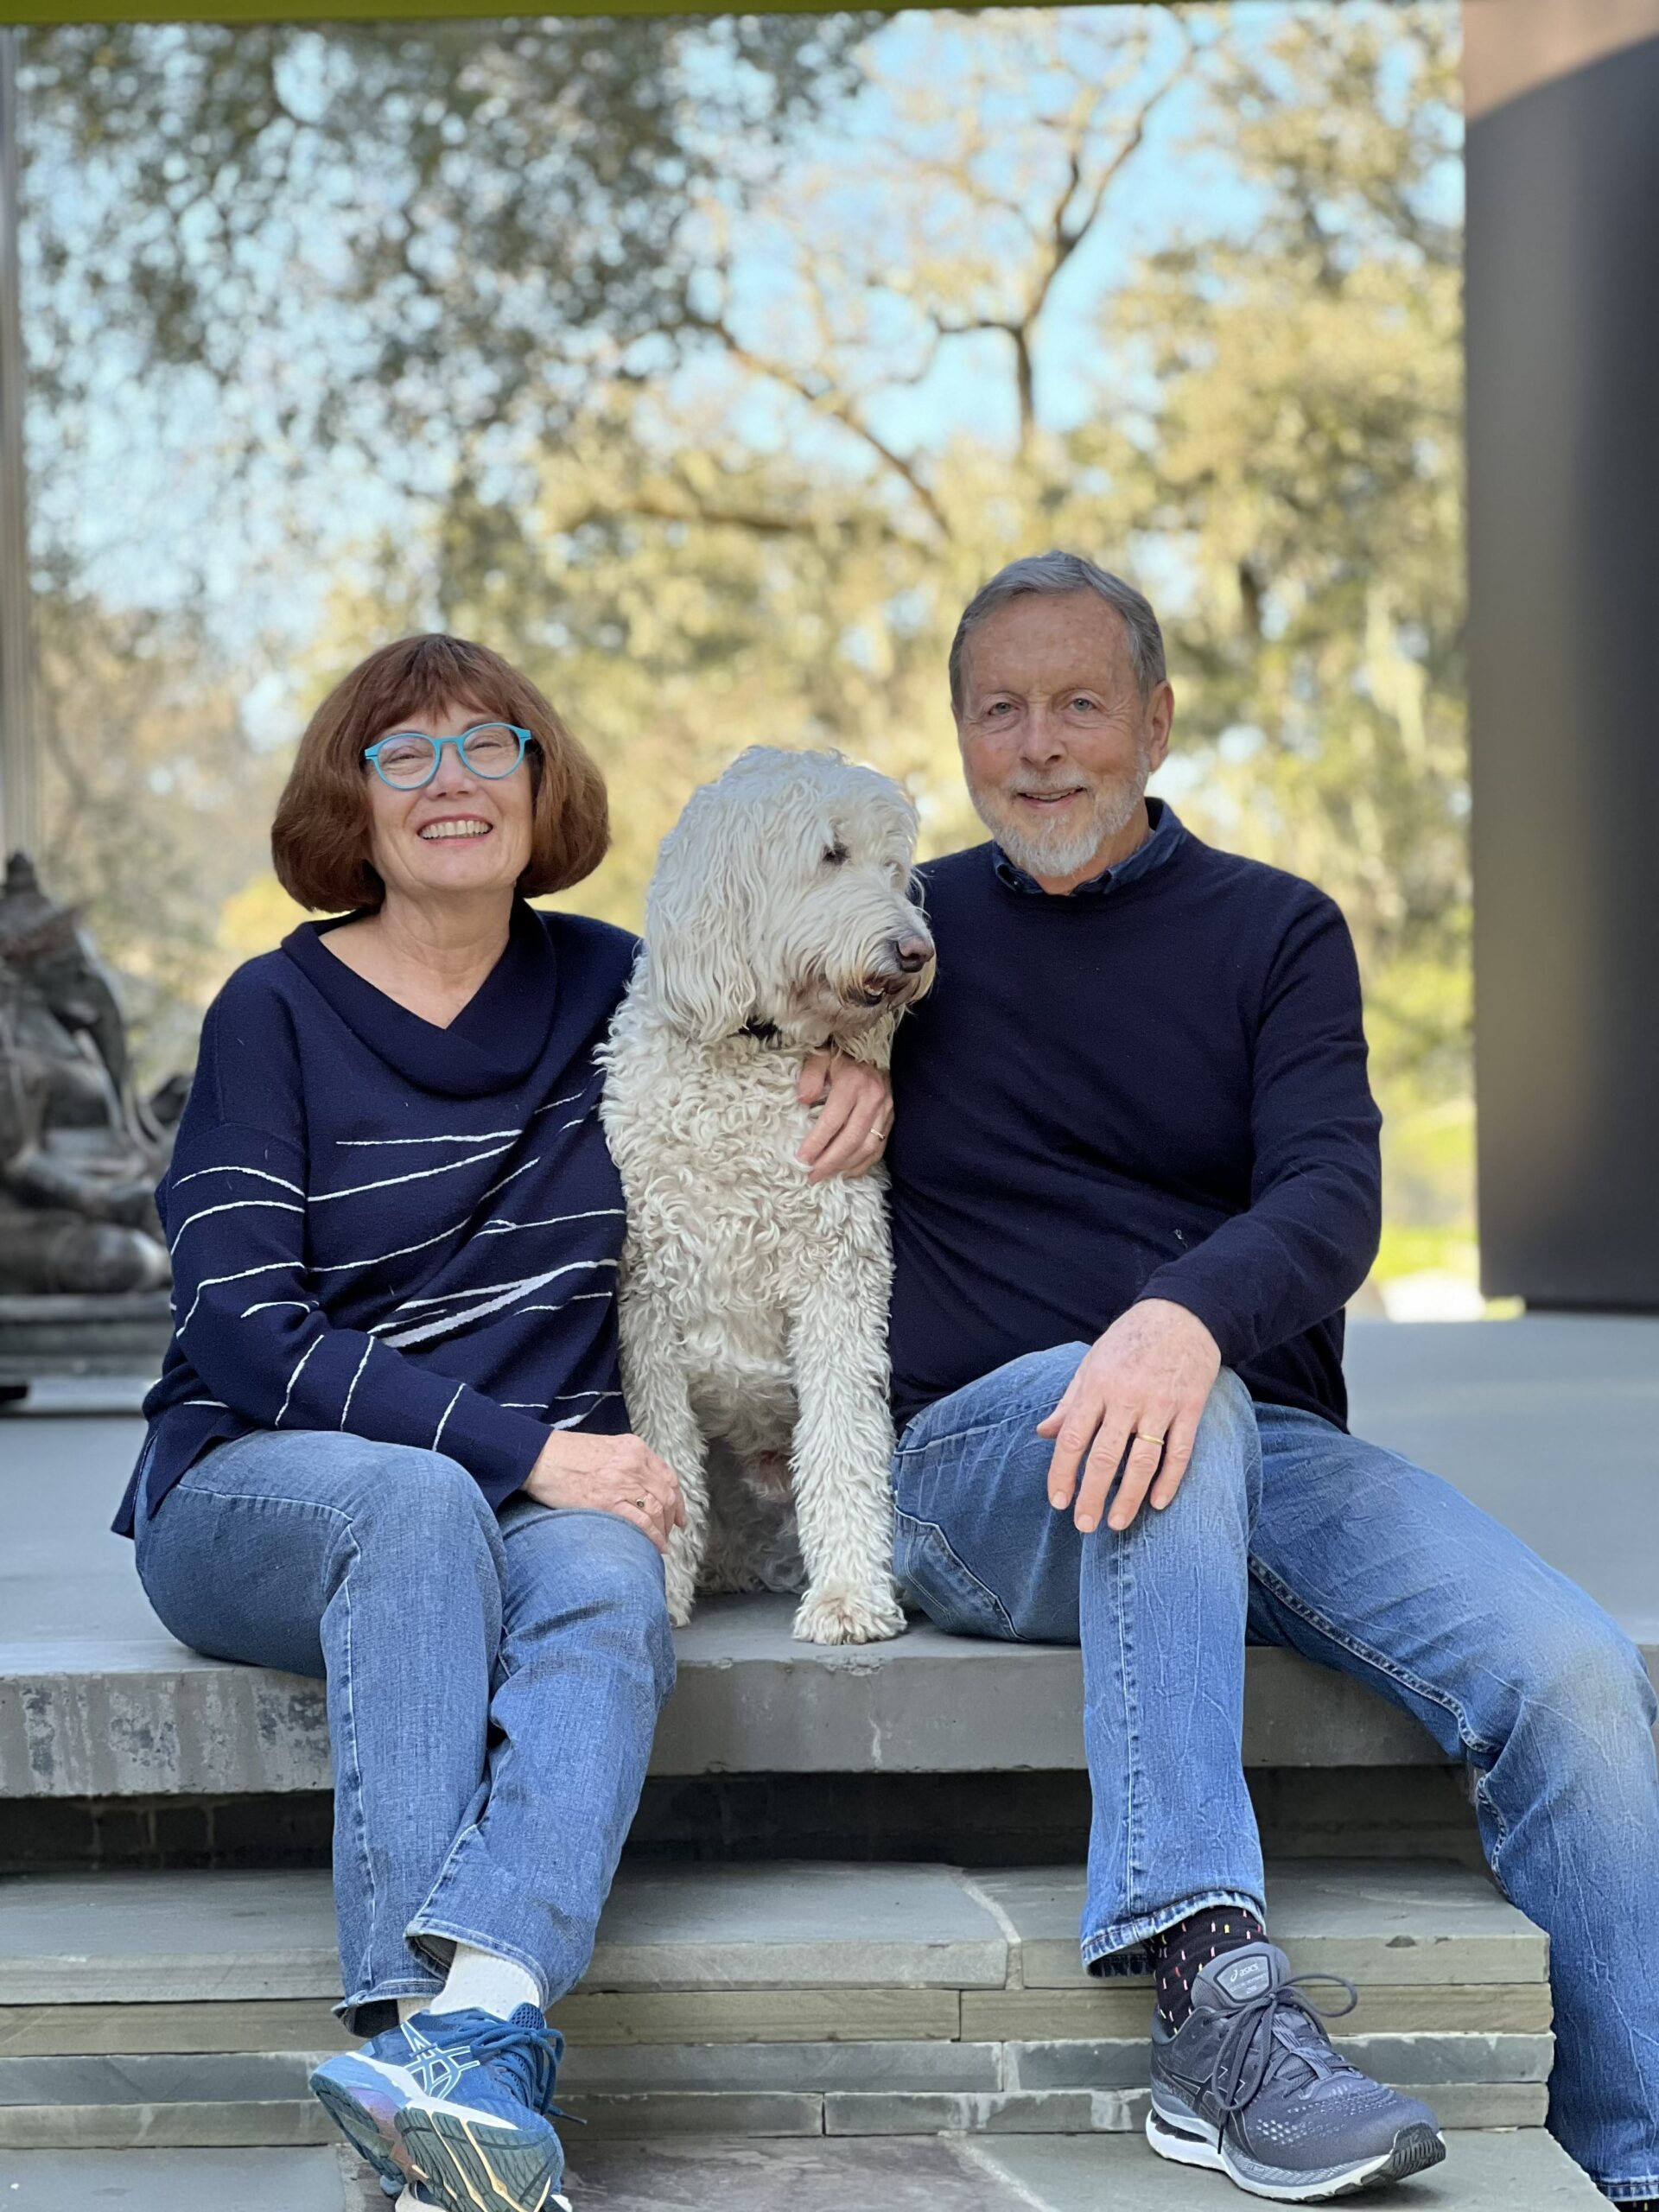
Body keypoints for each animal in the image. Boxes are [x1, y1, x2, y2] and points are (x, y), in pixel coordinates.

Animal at [597, 743, 938, 1645]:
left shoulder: (839, 1277)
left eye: (896, 870)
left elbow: (843, 1442)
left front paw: (851, 1596)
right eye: (830, 855)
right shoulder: (644, 1302)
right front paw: (659, 1587)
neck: (750, 1052)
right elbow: (662, 1455)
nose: (916, 952)